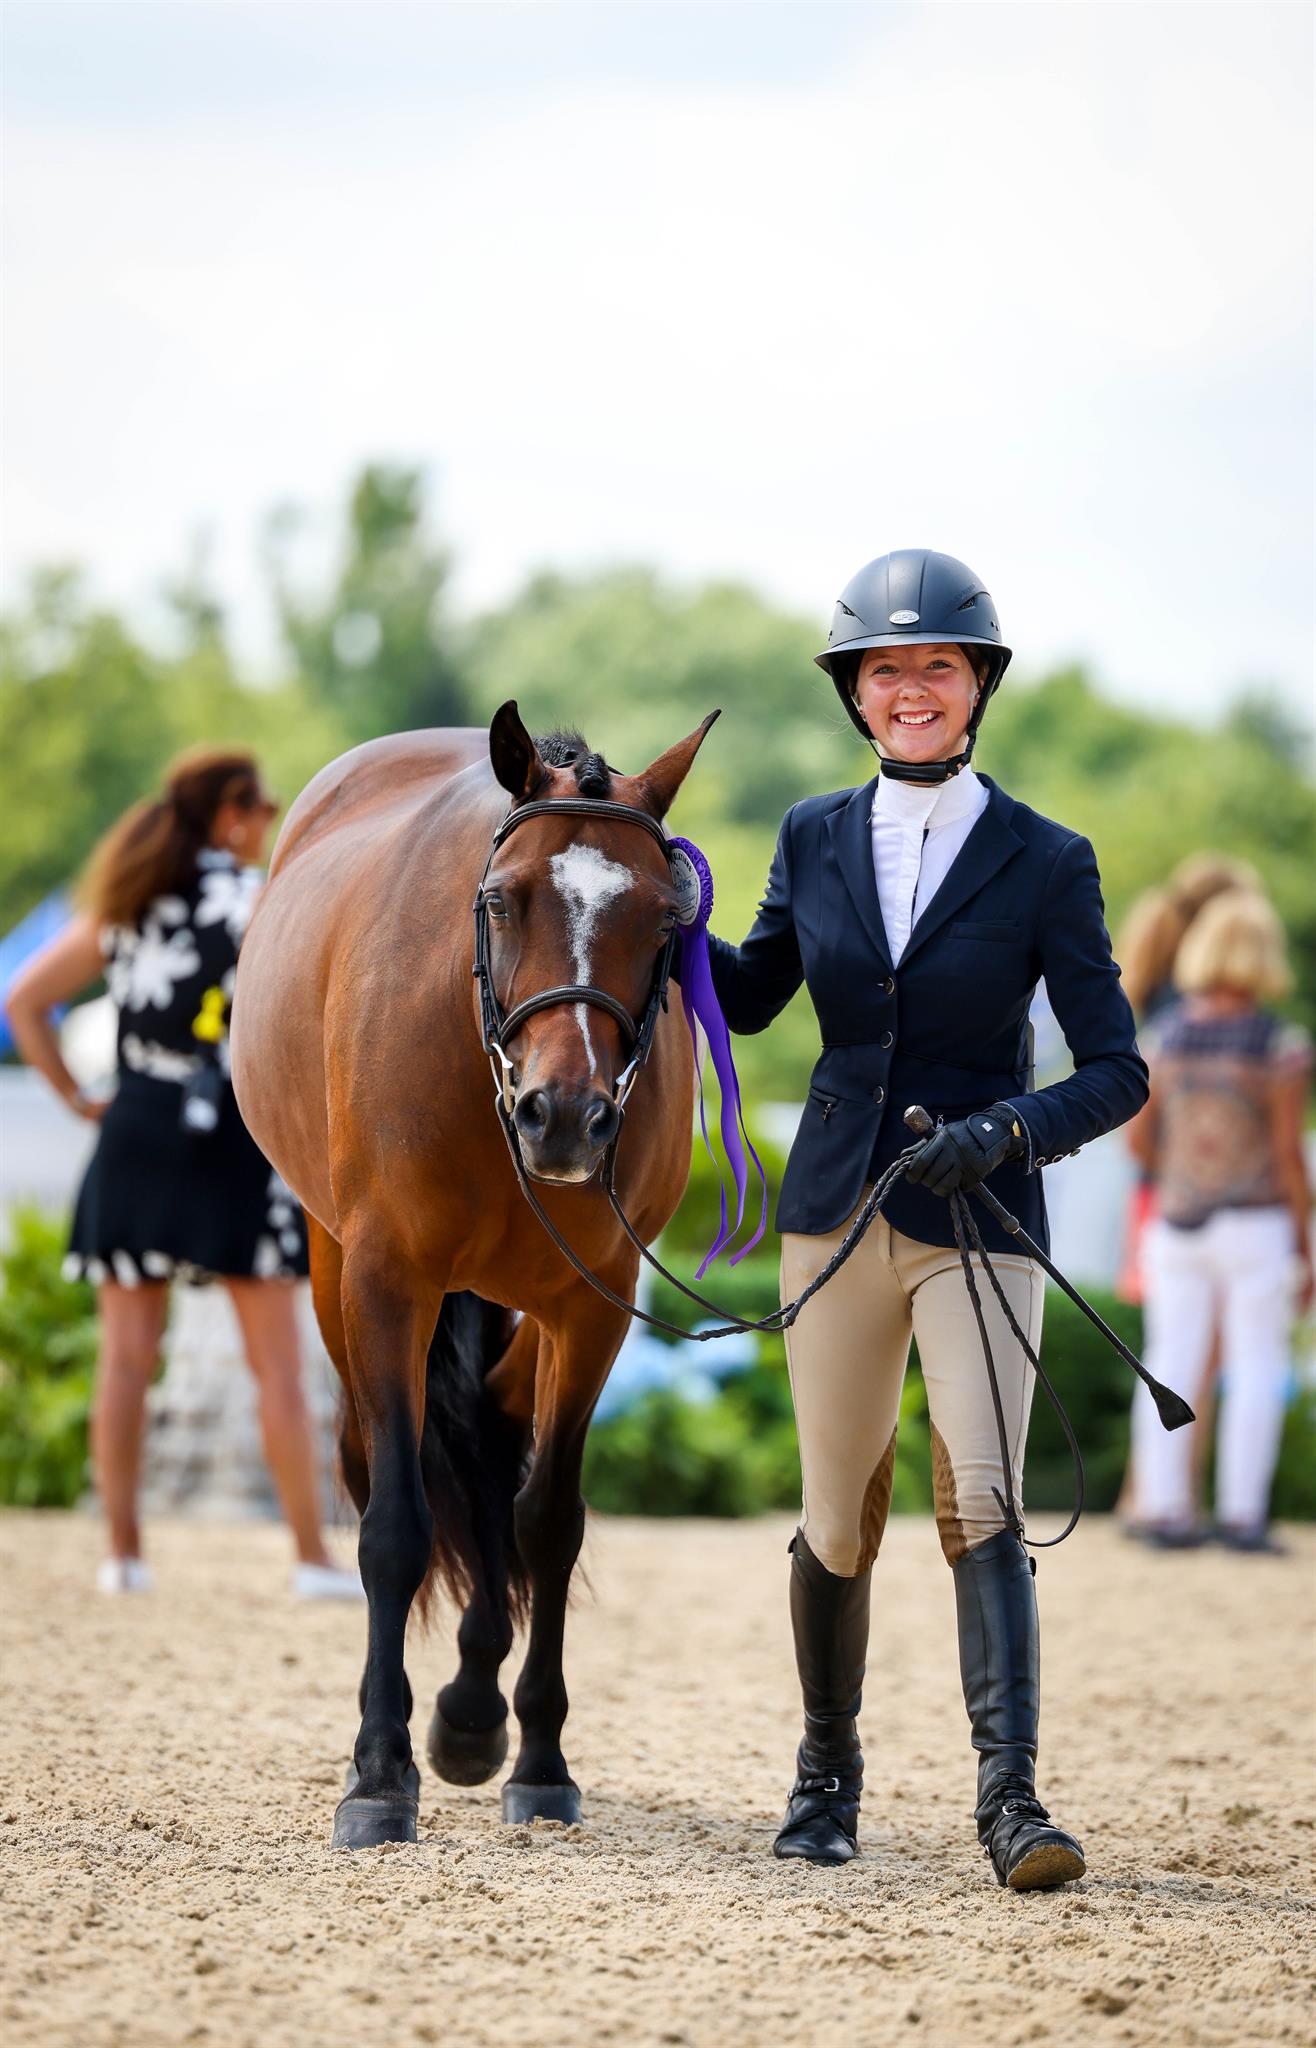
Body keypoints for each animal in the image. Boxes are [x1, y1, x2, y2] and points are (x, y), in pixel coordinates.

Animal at [231, 699, 718, 1847]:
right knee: (392, 1462)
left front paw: (535, 1756)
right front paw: (377, 1774)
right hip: (335, 1276)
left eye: (663, 921)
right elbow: (395, 1526)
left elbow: (547, 1519)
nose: (566, 1116)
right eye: (504, 899)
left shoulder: (593, 1304)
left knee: (494, 1435)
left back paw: (468, 1709)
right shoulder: (386, 1280)